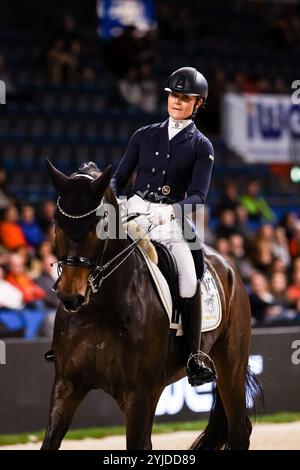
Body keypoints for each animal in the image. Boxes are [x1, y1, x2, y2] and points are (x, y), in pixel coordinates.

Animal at [41, 160, 262, 450]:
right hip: (158, 386)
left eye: (100, 225)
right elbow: (50, 441)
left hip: (230, 367)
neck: (100, 309)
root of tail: (229, 266)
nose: (70, 295)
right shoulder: (66, 387)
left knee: (239, 431)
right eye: (56, 222)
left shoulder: (136, 395)